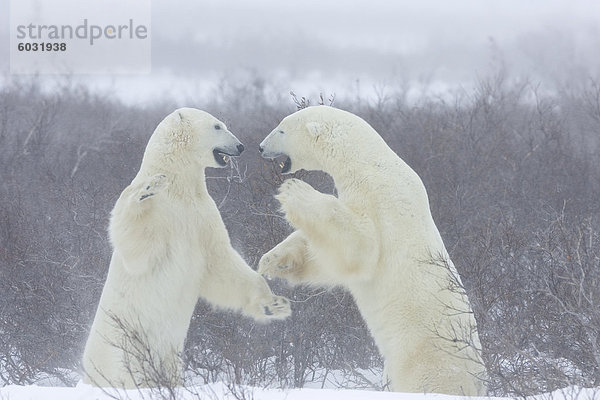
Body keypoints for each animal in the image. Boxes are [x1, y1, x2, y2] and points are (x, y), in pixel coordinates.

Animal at [83, 107, 292, 388]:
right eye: (217, 126)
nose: (240, 146)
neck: (180, 187)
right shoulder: (162, 214)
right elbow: (138, 248)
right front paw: (148, 187)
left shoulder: (203, 216)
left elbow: (221, 263)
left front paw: (275, 304)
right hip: (123, 348)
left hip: (170, 354)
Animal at [258, 105, 488, 394]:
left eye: (281, 130)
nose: (260, 147)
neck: (369, 162)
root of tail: (478, 381)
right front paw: (272, 261)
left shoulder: (379, 199)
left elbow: (360, 247)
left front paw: (294, 191)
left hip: (424, 358)